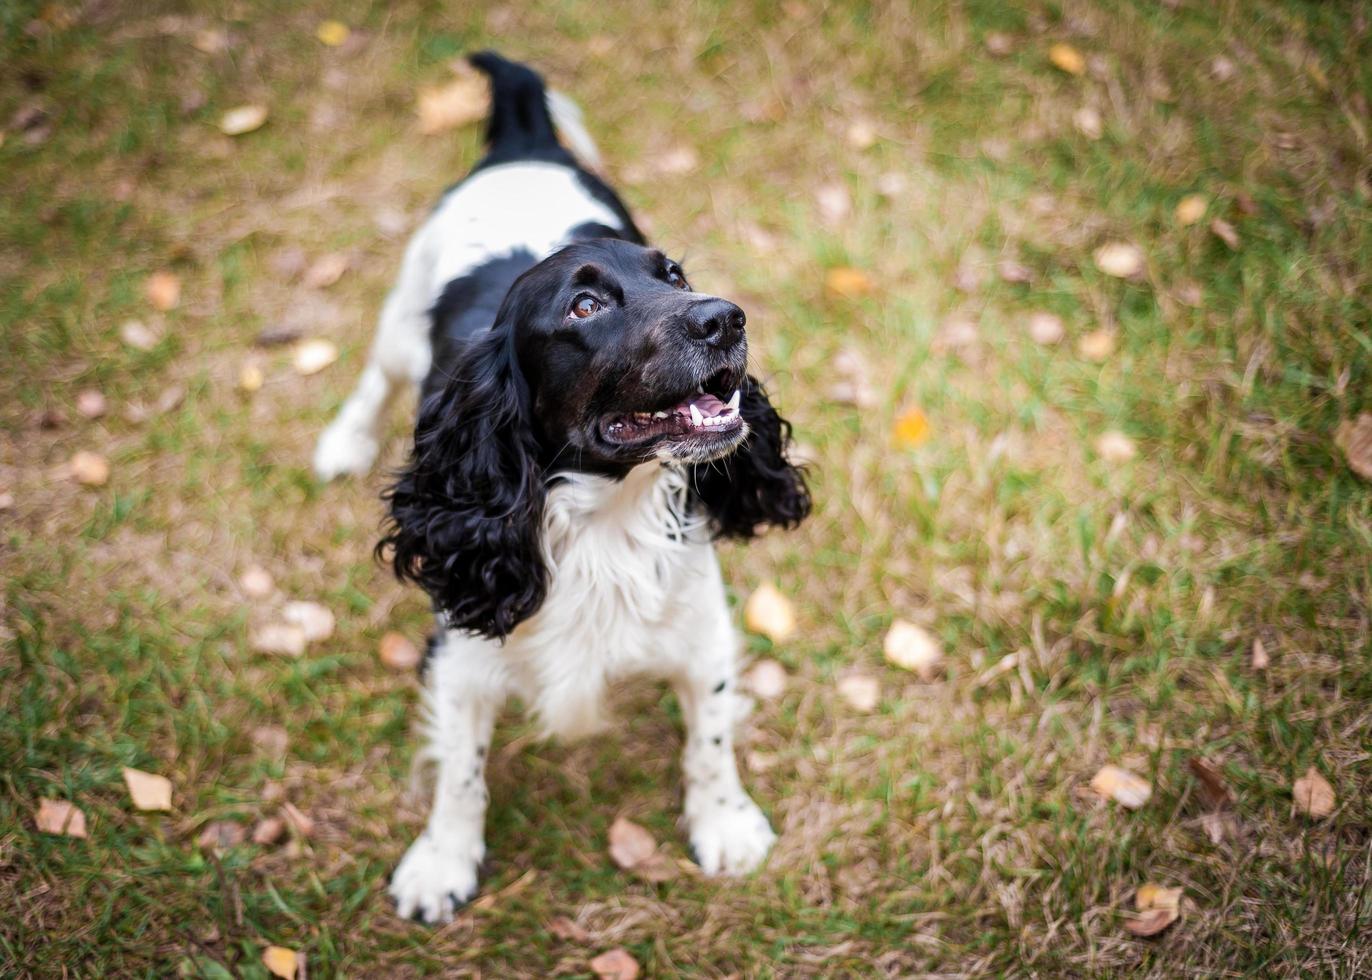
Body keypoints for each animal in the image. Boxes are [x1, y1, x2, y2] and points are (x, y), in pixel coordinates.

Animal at [315, 51, 806, 922]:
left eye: (675, 273)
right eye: (584, 305)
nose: (726, 317)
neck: (605, 515)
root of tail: (525, 139)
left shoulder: (702, 630)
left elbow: (710, 738)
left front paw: (725, 824)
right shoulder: (460, 649)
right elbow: (460, 772)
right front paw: (442, 863)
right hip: (402, 321)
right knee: (375, 377)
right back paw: (342, 439)